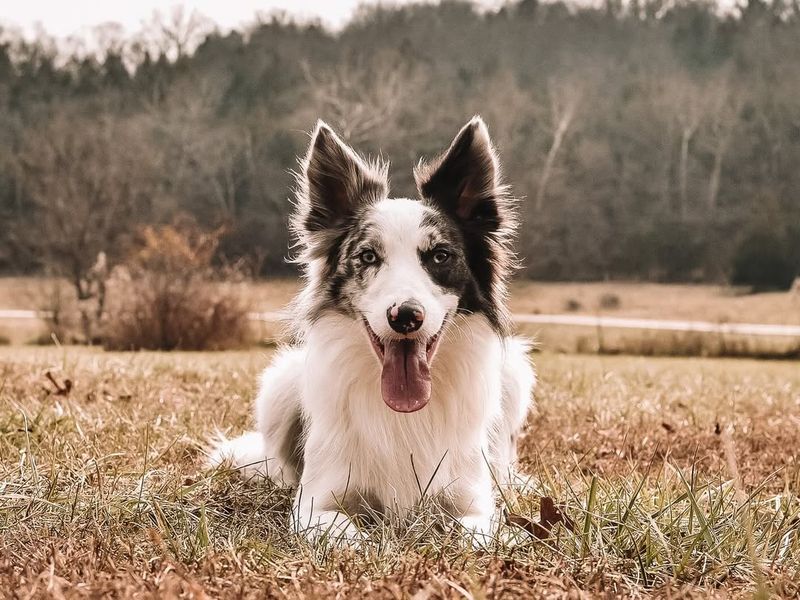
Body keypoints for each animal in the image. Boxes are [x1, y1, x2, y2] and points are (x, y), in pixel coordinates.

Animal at [211, 117, 536, 544]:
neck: (403, 413)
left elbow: (476, 530)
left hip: (514, 374)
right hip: (280, 381)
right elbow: (347, 533)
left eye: (440, 256)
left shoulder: (474, 504)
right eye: (367, 256)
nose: (405, 316)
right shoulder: (315, 505)